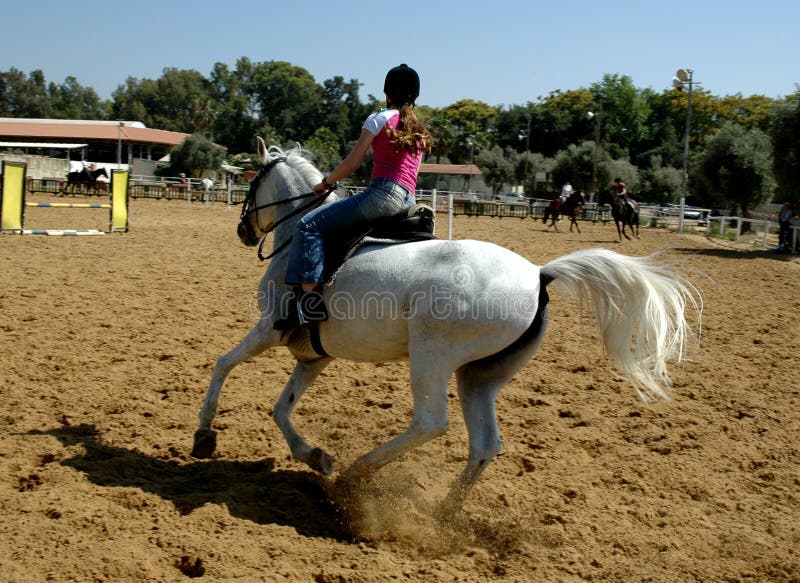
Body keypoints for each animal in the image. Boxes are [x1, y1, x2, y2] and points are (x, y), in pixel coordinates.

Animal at [195, 139, 700, 512]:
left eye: (251, 182)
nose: (243, 230)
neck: (301, 231)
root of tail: (539, 274)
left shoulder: (270, 330)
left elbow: (223, 364)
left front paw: (204, 434)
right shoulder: (313, 356)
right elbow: (281, 409)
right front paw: (314, 456)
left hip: (431, 358)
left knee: (431, 423)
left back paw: (357, 475)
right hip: (479, 376)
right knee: (486, 445)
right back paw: (443, 514)